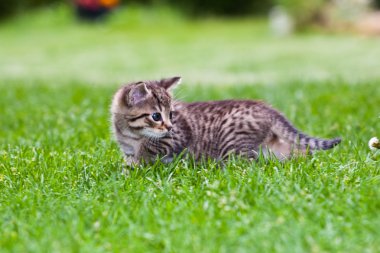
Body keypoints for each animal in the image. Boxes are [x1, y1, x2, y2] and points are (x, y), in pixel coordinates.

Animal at [110, 76, 342, 165]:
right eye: (156, 116)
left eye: (172, 115)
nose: (169, 126)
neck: (131, 135)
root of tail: (269, 110)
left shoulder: (177, 137)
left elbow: (149, 149)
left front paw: (137, 163)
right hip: (272, 146)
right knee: (298, 150)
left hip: (231, 142)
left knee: (249, 163)